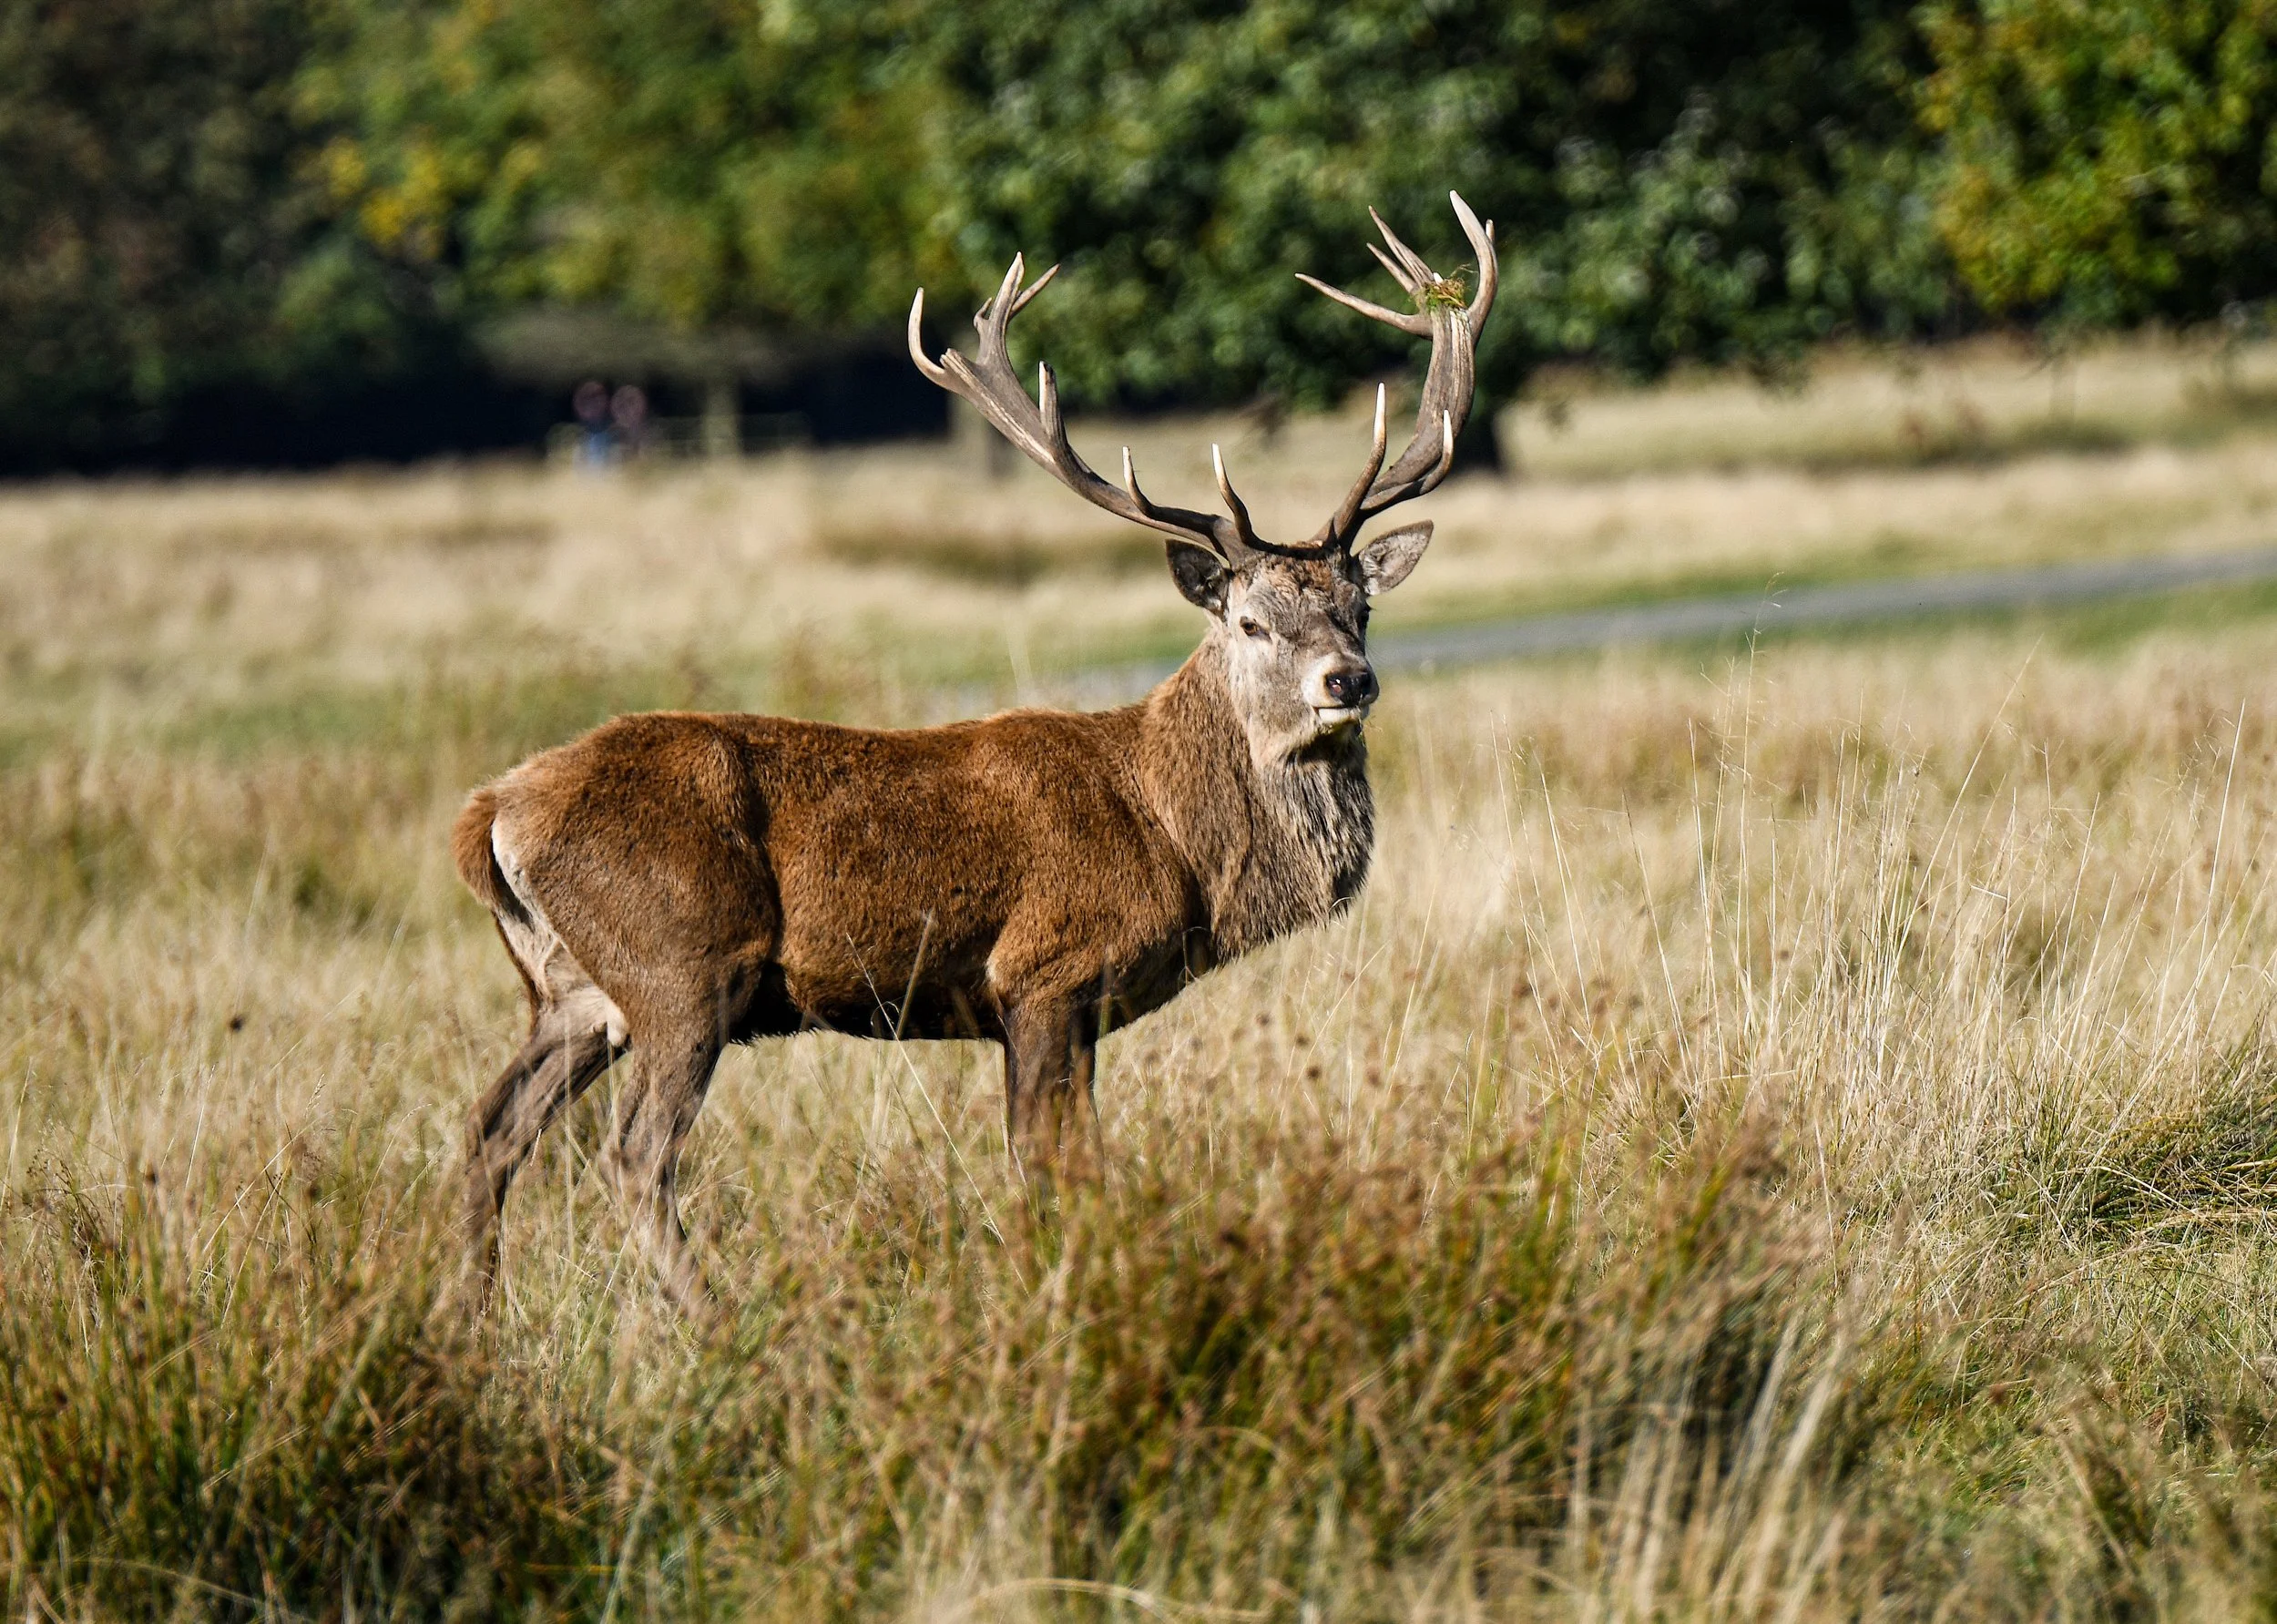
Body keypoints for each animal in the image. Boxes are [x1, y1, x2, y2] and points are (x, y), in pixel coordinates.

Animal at [451, 193, 1498, 1314]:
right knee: (635, 1152)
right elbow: (1050, 1164)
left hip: (572, 990)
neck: (1178, 842)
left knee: (490, 1128)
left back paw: (472, 1312)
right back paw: (717, 1317)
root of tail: (492, 813)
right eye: (1253, 622)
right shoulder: (1044, 970)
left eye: (1360, 607)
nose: (1348, 680)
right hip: (678, 967)